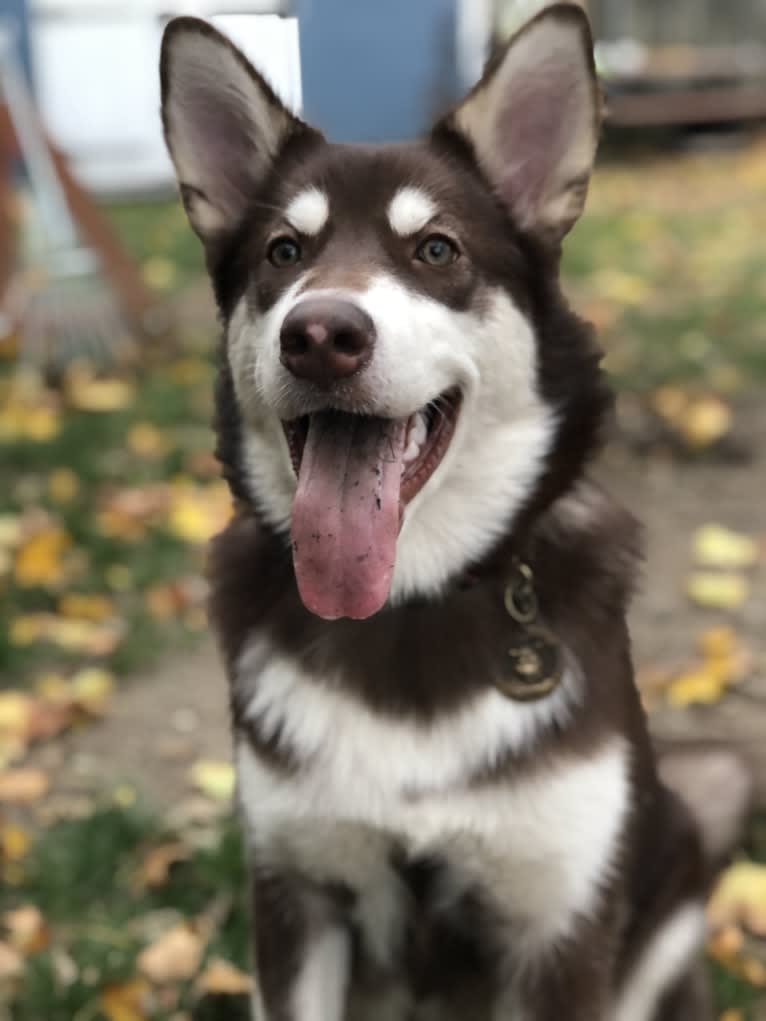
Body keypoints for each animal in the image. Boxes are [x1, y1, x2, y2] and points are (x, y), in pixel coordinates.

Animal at [160, 9, 751, 1021]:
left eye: (435, 249)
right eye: (284, 252)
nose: (320, 334)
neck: (409, 601)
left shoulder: (559, 920)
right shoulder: (296, 894)